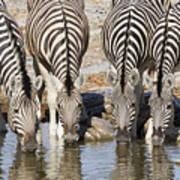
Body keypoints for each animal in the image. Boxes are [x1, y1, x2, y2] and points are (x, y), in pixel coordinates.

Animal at [25, 0, 89, 143]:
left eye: (79, 105)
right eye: (60, 106)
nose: (70, 138)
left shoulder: (79, 57)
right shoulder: (42, 62)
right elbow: (52, 97)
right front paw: (55, 131)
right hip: (34, 53)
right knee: (39, 81)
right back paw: (37, 112)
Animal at [101, 0, 172, 143]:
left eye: (132, 105)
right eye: (113, 104)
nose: (122, 138)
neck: (127, 36)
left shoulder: (141, 65)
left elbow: (137, 93)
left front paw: (133, 133)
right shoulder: (114, 62)